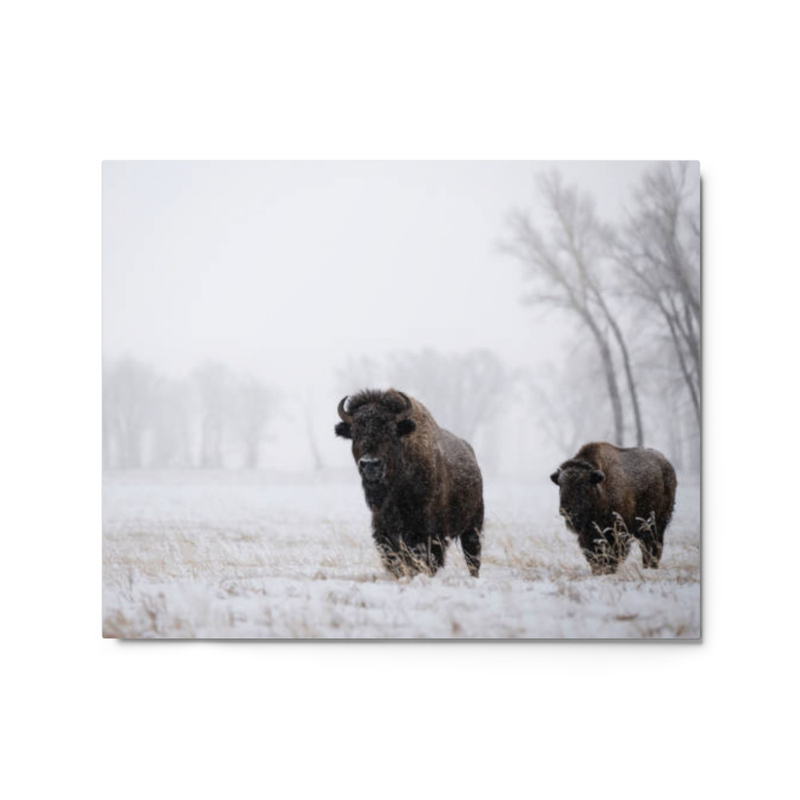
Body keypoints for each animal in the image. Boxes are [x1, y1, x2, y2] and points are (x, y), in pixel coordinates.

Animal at [335, 389, 484, 578]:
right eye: (355, 432)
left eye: (391, 431)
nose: (370, 464)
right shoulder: (384, 530)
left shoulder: (427, 533)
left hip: (473, 526)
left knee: (472, 557)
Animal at [550, 442, 677, 575]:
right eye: (561, 484)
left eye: (583, 483)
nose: (565, 509)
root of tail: (666, 465)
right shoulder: (587, 535)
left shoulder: (618, 532)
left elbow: (613, 555)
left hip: (657, 524)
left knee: (653, 547)